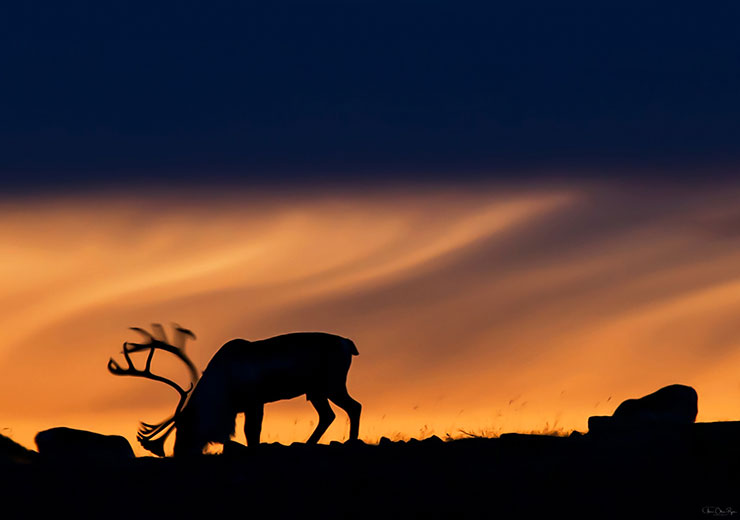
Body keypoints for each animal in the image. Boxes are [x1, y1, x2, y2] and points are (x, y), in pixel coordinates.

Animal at [108, 324, 361, 456]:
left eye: (185, 426)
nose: (178, 453)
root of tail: (348, 343)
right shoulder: (244, 407)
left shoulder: (254, 402)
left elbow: (252, 433)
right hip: (316, 391)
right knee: (328, 415)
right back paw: (308, 444)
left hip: (332, 384)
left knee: (354, 407)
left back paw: (350, 442)